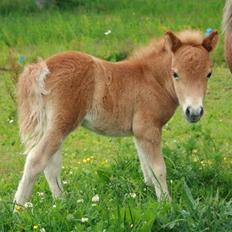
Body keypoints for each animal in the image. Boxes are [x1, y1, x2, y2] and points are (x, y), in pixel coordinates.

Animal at [14, 29, 218, 205]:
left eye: (209, 74)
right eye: (175, 73)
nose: (194, 112)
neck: (152, 80)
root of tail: (44, 66)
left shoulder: (140, 133)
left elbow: (146, 167)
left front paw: (147, 193)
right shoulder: (148, 129)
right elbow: (158, 168)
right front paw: (166, 204)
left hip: (53, 125)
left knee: (51, 165)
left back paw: (63, 203)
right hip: (62, 123)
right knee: (36, 159)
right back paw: (19, 208)